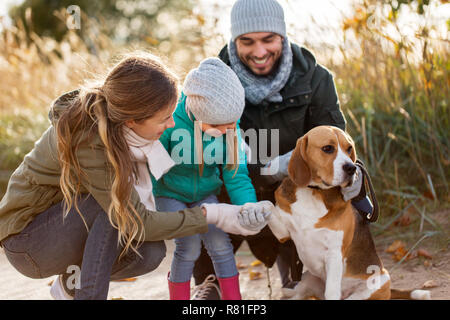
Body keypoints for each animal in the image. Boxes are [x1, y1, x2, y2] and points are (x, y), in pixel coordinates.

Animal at [268, 125, 430, 300]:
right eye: (327, 148)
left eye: (349, 148)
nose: (352, 168)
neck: (315, 192)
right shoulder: (283, 233)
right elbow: (268, 207)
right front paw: (254, 210)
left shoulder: (334, 254)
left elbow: (331, 291)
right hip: (305, 281)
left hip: (371, 286)